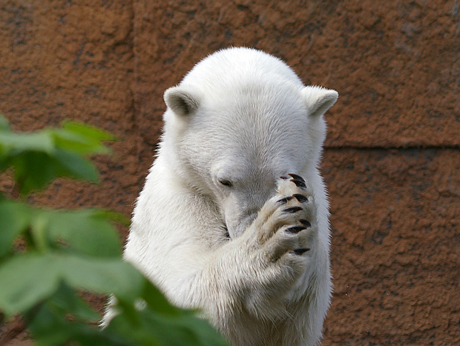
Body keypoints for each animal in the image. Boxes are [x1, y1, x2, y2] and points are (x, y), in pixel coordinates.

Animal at [122, 48, 338, 346]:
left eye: (282, 176)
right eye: (224, 181)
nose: (246, 228)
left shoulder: (316, 193)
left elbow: (298, 315)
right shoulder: (174, 201)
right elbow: (174, 296)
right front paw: (268, 242)